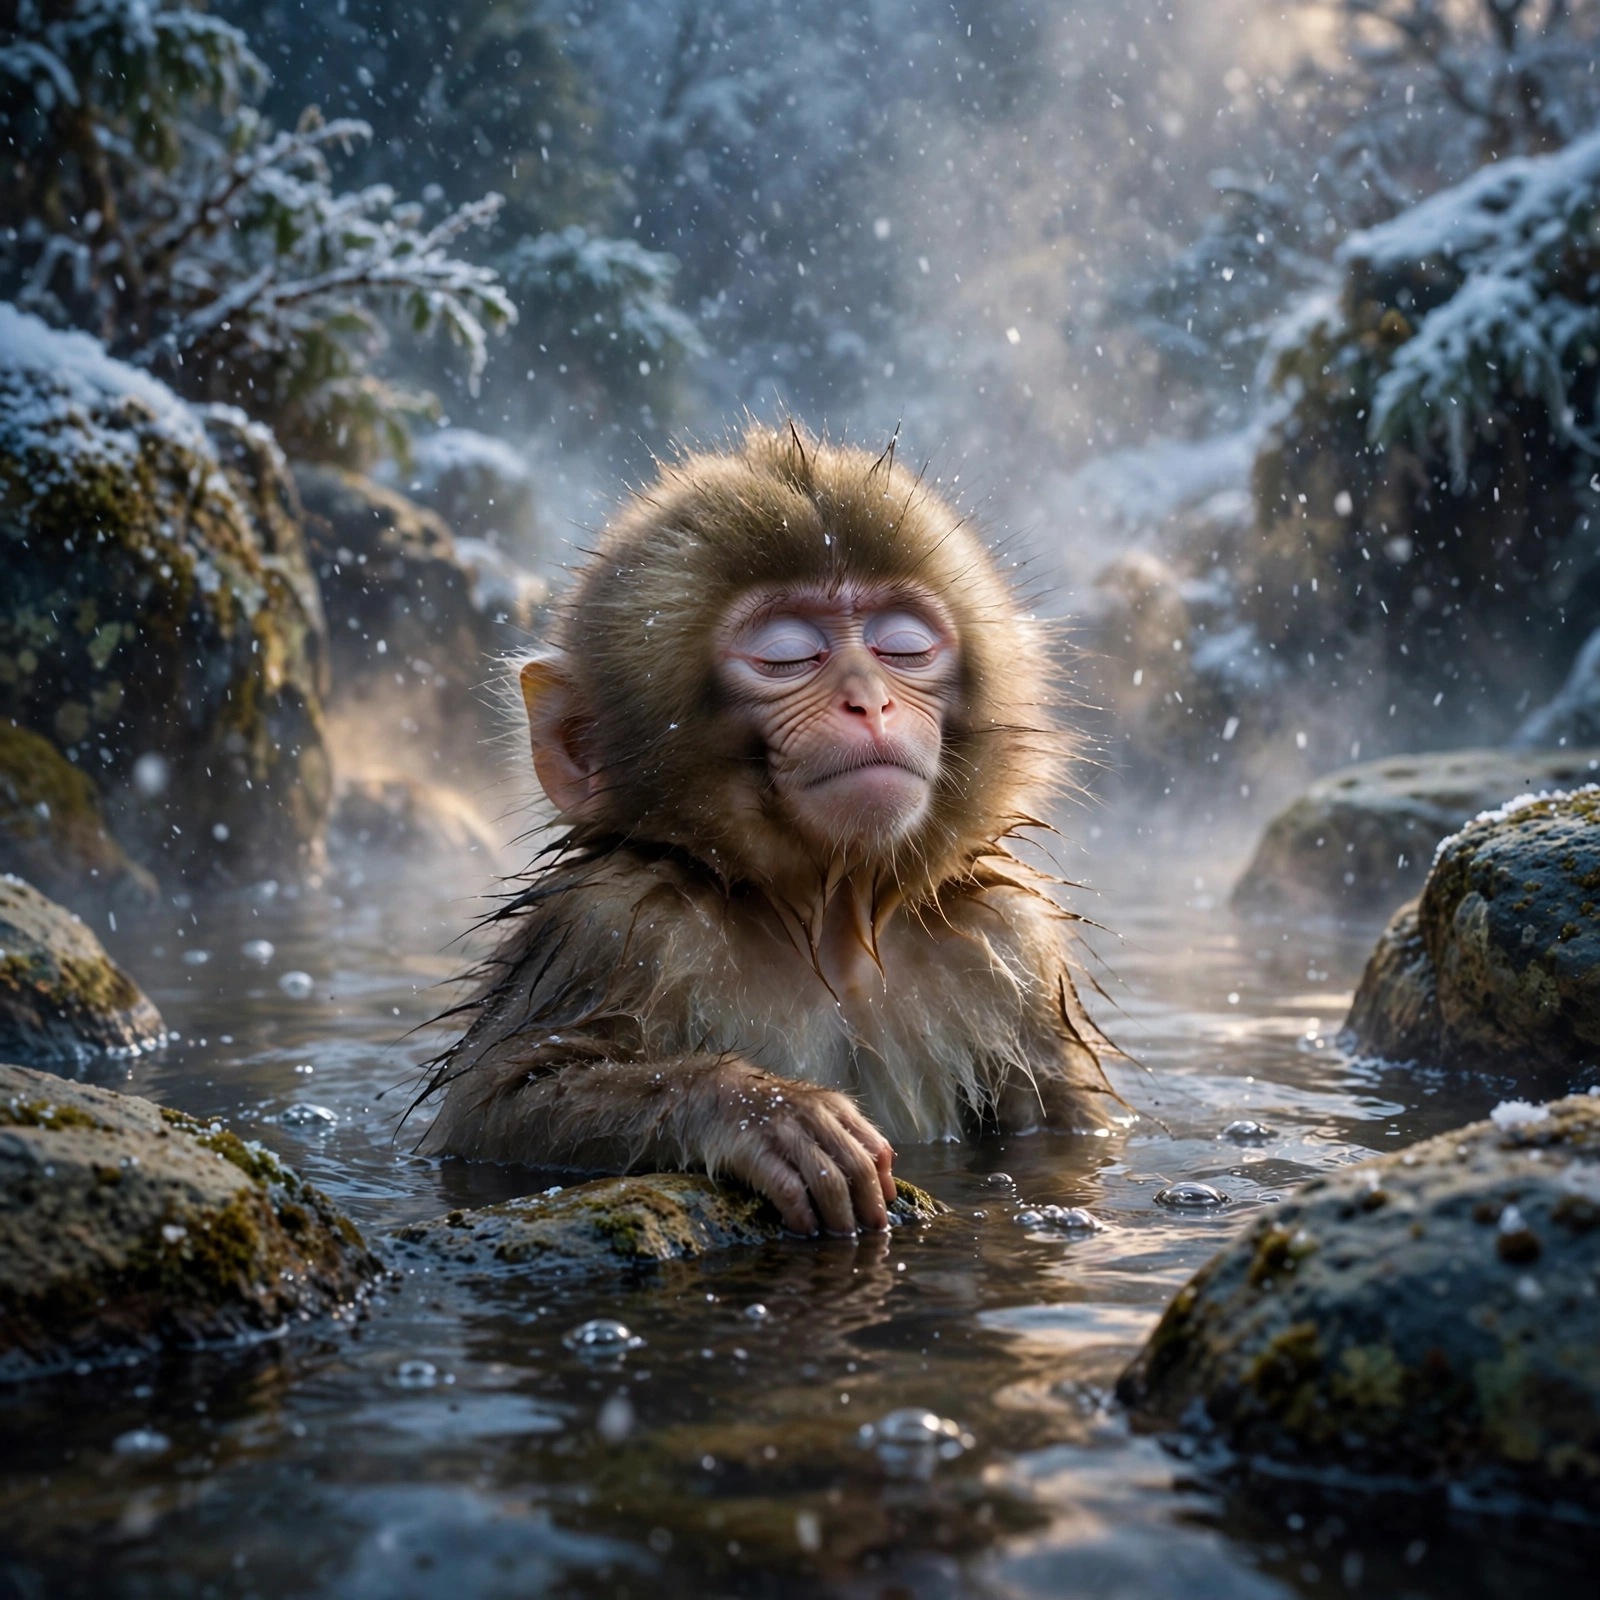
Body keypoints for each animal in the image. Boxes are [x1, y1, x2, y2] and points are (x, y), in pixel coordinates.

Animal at [414, 423, 1129, 1235]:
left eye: (903, 646)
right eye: (786, 655)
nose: (869, 700)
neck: (829, 917)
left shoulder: (1013, 938)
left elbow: (1066, 1126)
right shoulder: (608, 922)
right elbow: (489, 1110)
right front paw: (763, 1113)